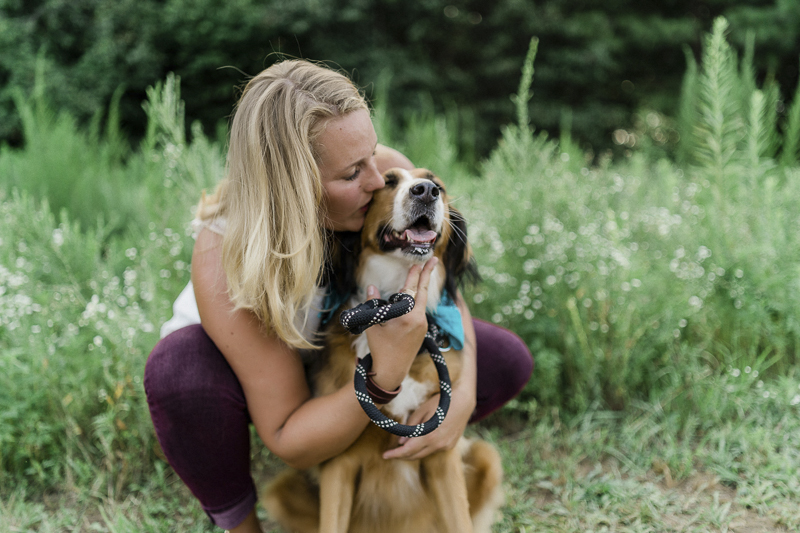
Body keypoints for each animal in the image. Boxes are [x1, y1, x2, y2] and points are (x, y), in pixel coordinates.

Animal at [262, 168, 500, 532]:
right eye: (387, 182)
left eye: (438, 185)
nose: (425, 191)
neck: (394, 300)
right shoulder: (339, 464)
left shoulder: (440, 452)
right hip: (282, 490)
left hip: (487, 460)